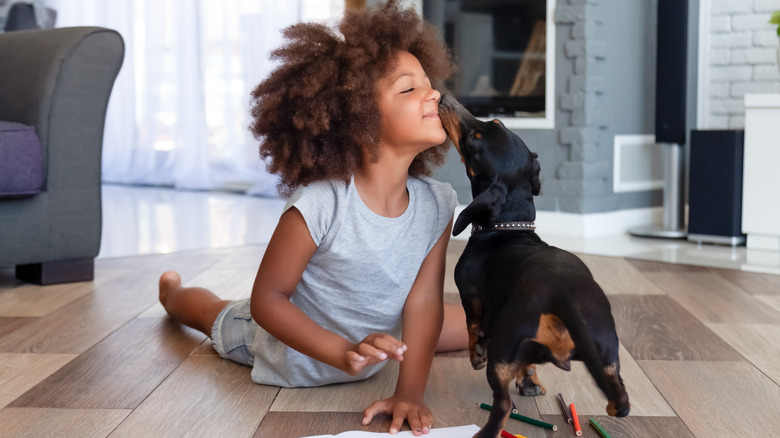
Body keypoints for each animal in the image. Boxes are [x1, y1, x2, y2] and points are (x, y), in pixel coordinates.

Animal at [438, 96, 628, 438]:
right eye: (496, 122)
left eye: (474, 141)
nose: (446, 99)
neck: (509, 226)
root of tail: (563, 297)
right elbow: (528, 366)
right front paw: (530, 383)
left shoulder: (470, 297)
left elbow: (472, 328)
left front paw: (475, 354)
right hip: (608, 354)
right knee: (619, 399)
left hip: (501, 352)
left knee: (501, 405)